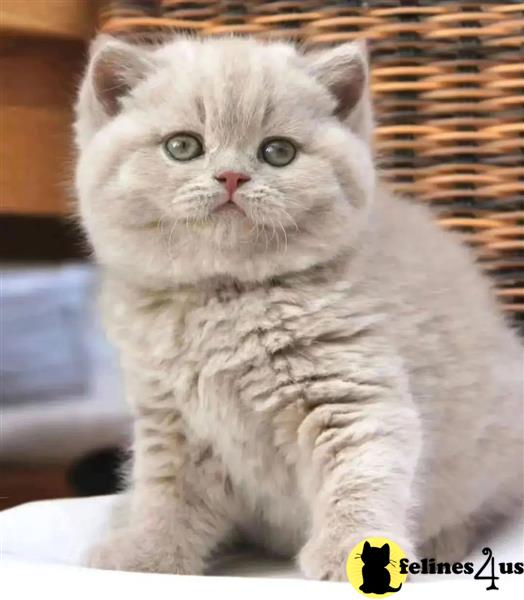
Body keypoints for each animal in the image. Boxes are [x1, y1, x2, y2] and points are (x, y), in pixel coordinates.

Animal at [74, 35, 524, 580]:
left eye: (278, 152)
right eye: (182, 146)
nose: (231, 176)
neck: (225, 298)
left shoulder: (349, 390)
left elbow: (360, 473)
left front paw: (349, 552)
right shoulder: (170, 419)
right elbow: (167, 494)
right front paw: (147, 553)